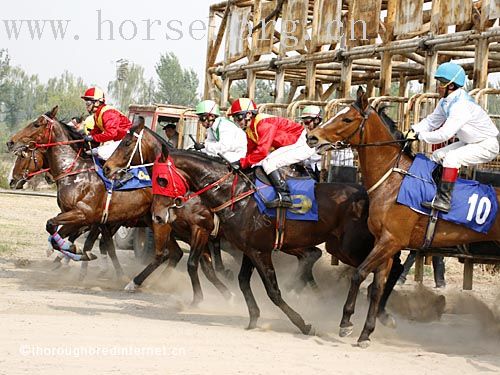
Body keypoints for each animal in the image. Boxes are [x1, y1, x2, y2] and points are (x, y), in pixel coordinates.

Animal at [103, 122, 404, 336]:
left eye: (162, 179)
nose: (106, 167)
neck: (233, 194)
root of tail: (366, 191)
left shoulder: (217, 235)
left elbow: (268, 289)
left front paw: (302, 323)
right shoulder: (246, 247)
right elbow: (237, 279)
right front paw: (250, 315)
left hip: (348, 246)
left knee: (384, 266)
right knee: (337, 261)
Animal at [304, 86, 500, 348]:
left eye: (346, 119)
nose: (312, 137)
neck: (393, 179)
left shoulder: (391, 241)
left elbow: (359, 274)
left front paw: (346, 323)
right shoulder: (384, 243)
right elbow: (377, 286)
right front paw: (366, 332)